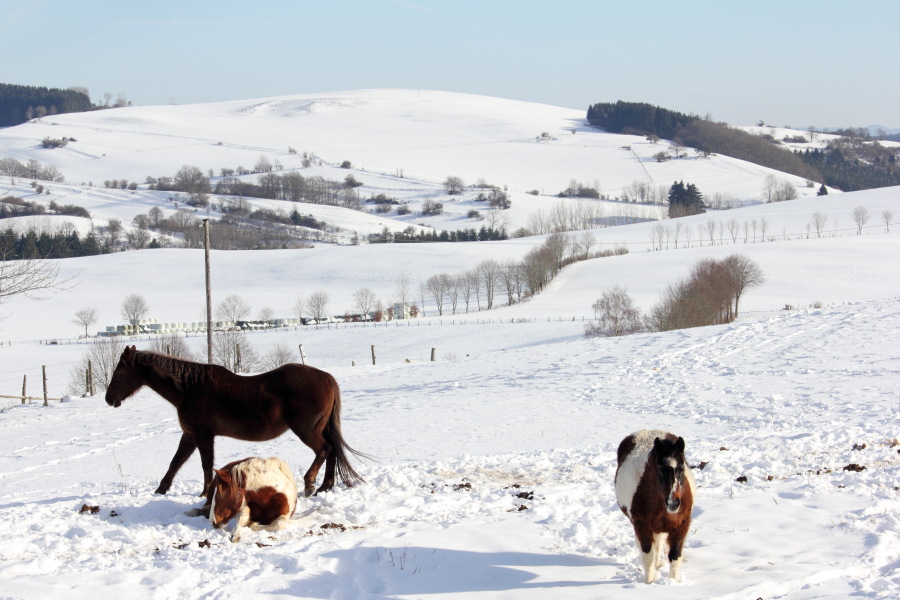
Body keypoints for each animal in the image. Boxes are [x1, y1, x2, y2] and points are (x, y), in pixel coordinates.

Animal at [104, 345, 366, 512]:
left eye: (119, 371)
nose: (108, 399)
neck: (189, 389)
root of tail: (326, 378)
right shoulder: (189, 435)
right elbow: (176, 462)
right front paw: (161, 489)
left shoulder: (203, 435)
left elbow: (206, 464)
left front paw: (204, 493)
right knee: (332, 451)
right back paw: (325, 486)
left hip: (307, 429)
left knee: (324, 450)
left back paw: (311, 483)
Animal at [614, 429, 695, 584]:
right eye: (660, 469)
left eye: (682, 469)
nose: (673, 503)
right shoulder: (642, 525)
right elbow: (647, 556)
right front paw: (649, 583)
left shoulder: (682, 525)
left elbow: (675, 557)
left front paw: (673, 582)